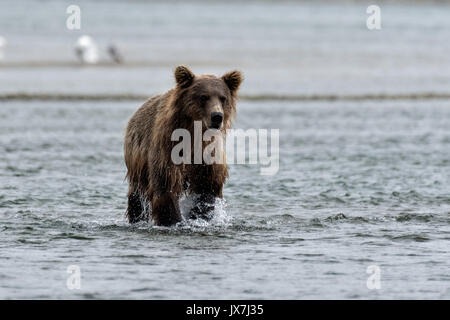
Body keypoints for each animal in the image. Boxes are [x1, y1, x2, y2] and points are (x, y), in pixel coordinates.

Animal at [123, 64, 243, 225]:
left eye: (223, 98)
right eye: (204, 96)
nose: (217, 116)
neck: (194, 135)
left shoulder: (207, 156)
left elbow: (207, 189)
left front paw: (197, 217)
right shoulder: (168, 150)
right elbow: (166, 188)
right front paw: (173, 221)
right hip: (138, 160)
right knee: (137, 194)